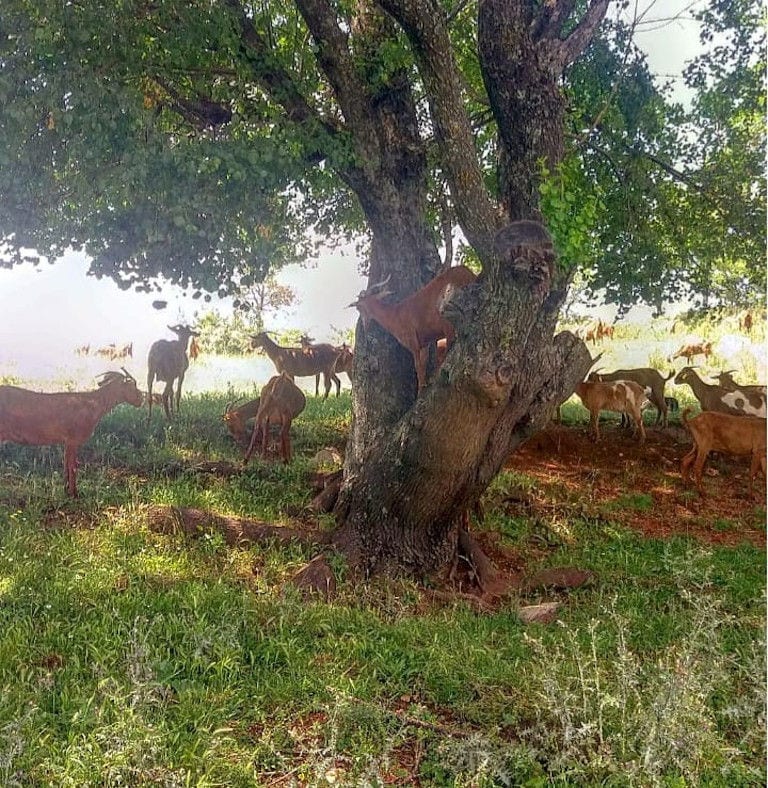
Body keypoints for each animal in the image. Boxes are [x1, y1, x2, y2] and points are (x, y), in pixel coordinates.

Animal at [0, 370, 144, 496]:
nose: (141, 399)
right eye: (132, 385)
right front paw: (74, 494)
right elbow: (73, 467)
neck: (93, 405)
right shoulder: (73, 439)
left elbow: (66, 466)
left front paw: (66, 491)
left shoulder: (67, 442)